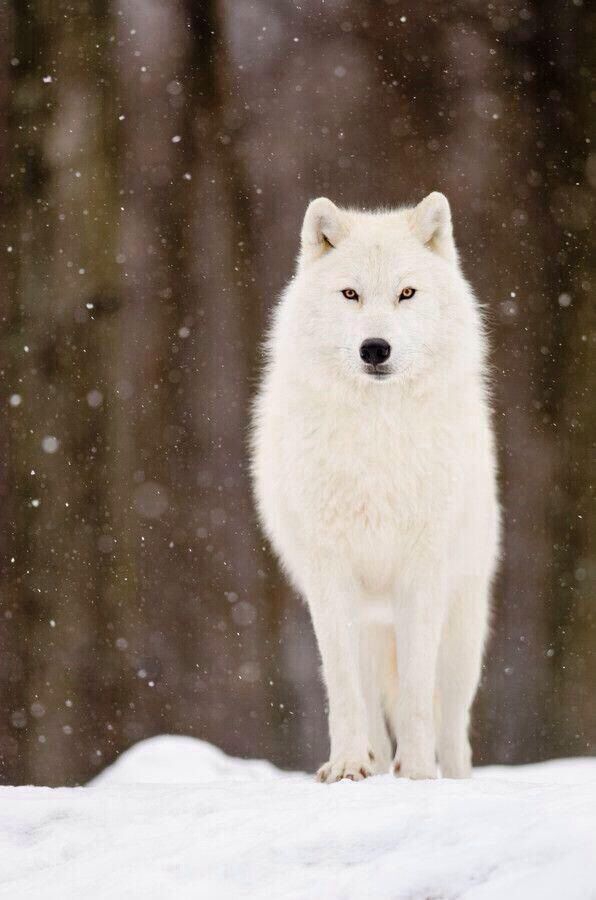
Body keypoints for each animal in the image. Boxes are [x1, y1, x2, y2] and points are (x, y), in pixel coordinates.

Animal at [251, 193, 500, 781]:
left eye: (406, 293)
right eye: (351, 294)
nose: (375, 348)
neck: (377, 442)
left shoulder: (423, 575)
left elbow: (415, 696)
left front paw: (418, 774)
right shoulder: (331, 578)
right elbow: (343, 692)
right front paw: (346, 766)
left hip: (462, 630)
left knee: (454, 726)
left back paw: (451, 777)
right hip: (365, 625)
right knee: (369, 704)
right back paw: (373, 765)